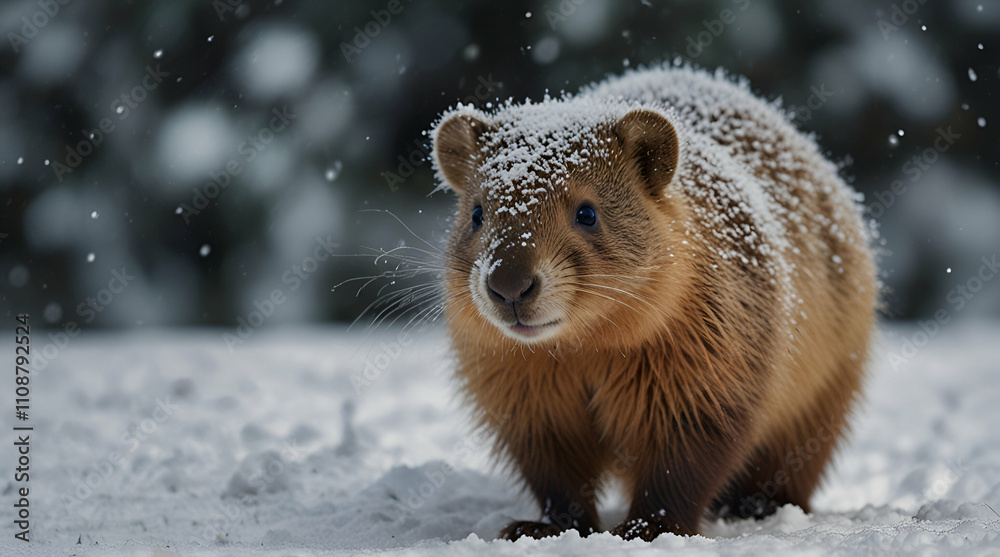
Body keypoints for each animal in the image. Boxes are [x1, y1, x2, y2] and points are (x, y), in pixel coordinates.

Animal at [429, 65, 877, 541]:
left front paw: (648, 529)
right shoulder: (530, 407)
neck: (585, 350)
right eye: (477, 213)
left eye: (587, 213)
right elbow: (559, 481)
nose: (509, 286)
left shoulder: (705, 389)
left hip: (820, 406)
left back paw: (757, 505)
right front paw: (544, 529)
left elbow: (678, 473)